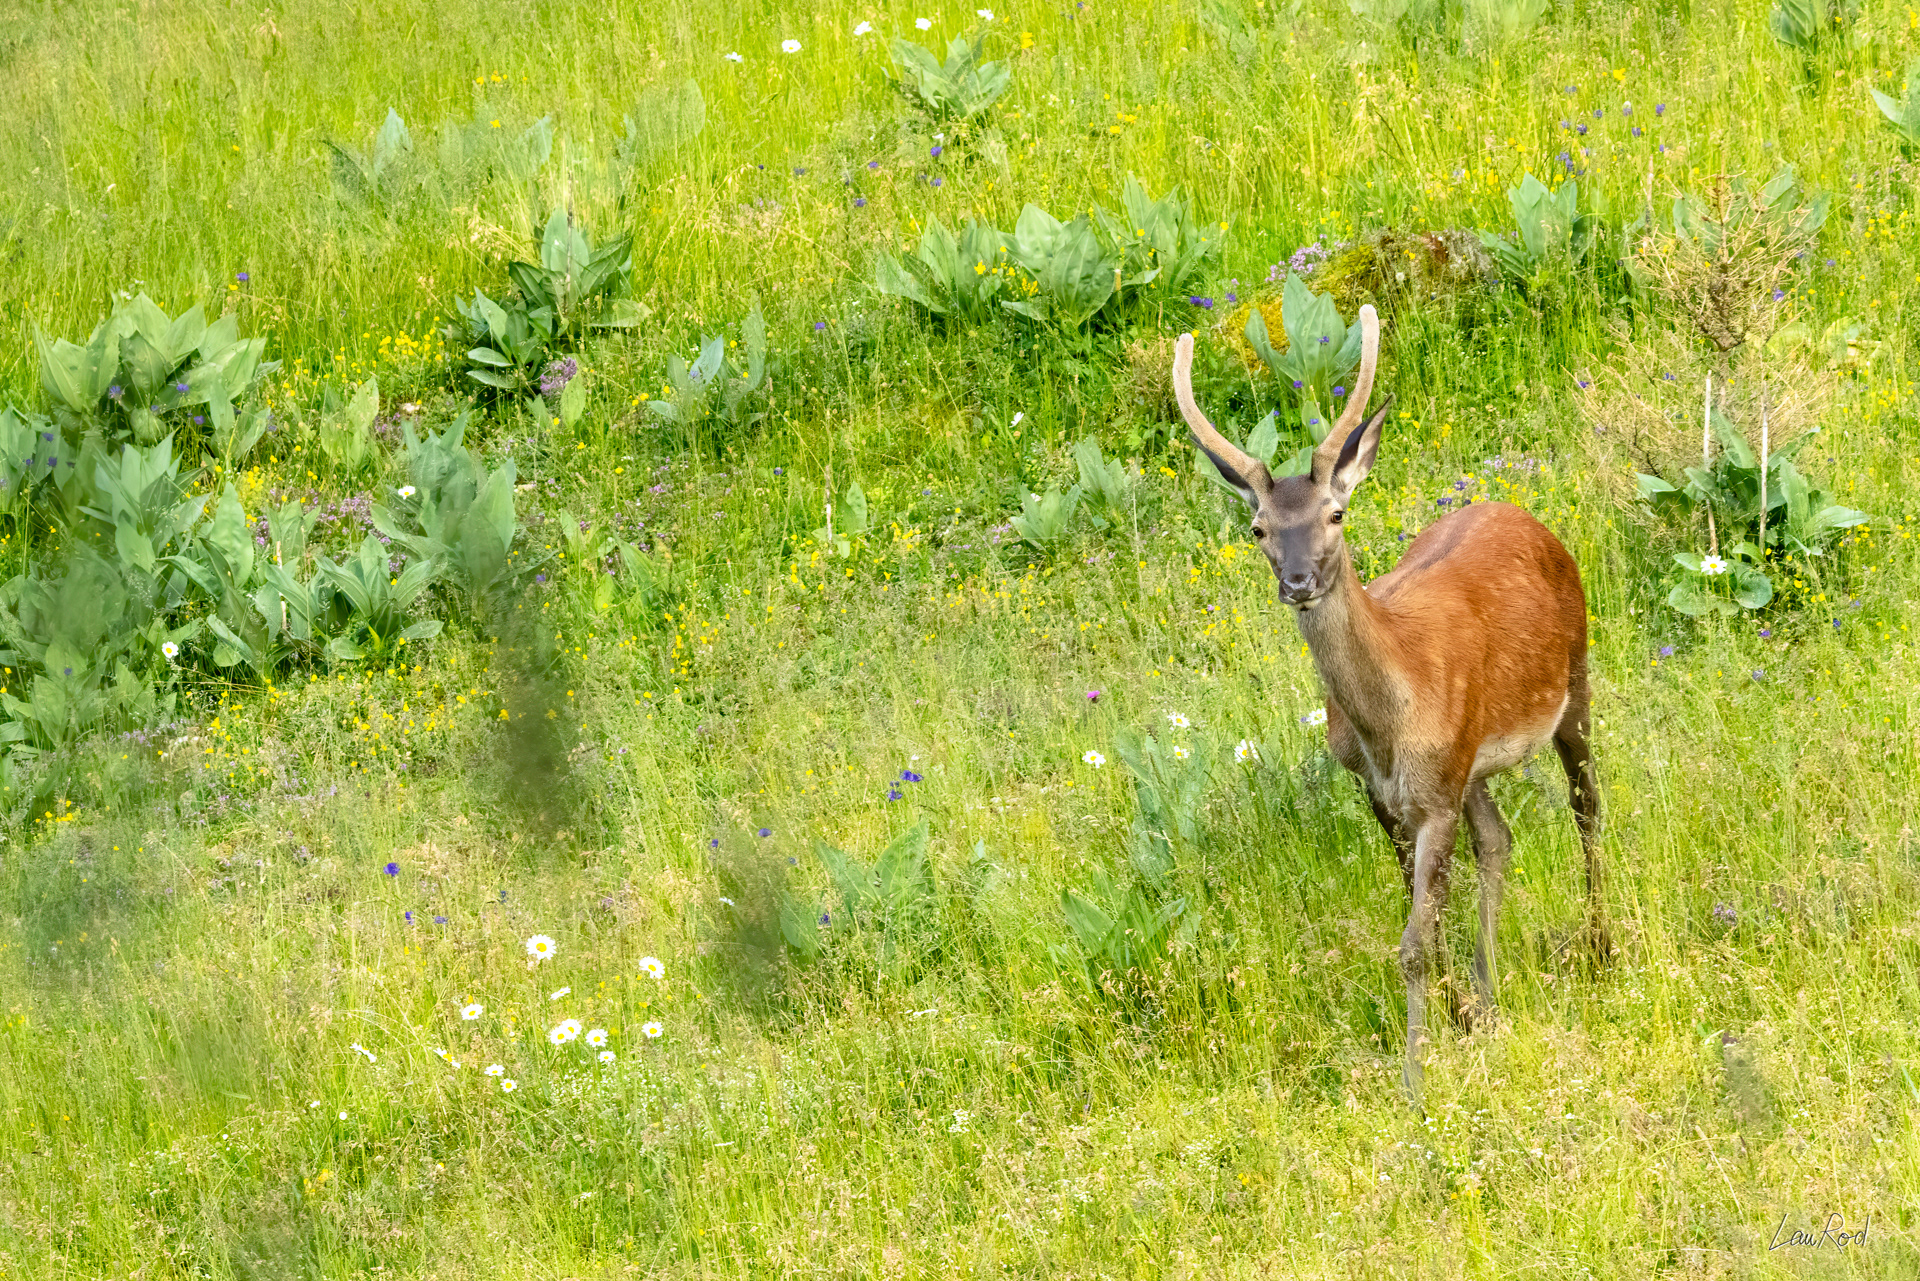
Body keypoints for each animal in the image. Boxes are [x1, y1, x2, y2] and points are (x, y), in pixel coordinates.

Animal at [1171, 306, 1603, 1104]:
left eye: (1336, 513)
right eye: (1258, 529)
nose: (1300, 581)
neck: (1390, 719)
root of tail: (1520, 512)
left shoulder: (1435, 791)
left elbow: (1413, 944)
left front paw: (1414, 1079)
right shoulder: (1389, 791)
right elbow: (1424, 923)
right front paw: (1461, 1018)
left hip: (1576, 675)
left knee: (1587, 803)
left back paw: (1603, 944)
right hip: (1472, 761)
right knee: (1499, 838)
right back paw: (1489, 992)